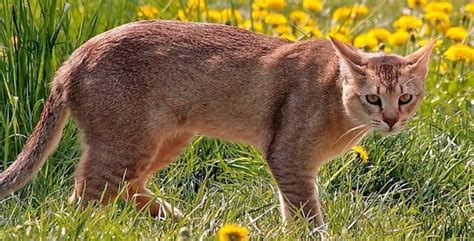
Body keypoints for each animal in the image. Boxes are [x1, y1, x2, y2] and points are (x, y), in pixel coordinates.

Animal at [0, 20, 436, 228]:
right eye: (373, 98)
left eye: (406, 98)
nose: (392, 120)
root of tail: (72, 59)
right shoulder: (288, 157)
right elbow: (308, 215)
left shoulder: (292, 166)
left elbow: (292, 211)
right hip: (125, 146)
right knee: (80, 200)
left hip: (165, 141)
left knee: (124, 188)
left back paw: (180, 220)